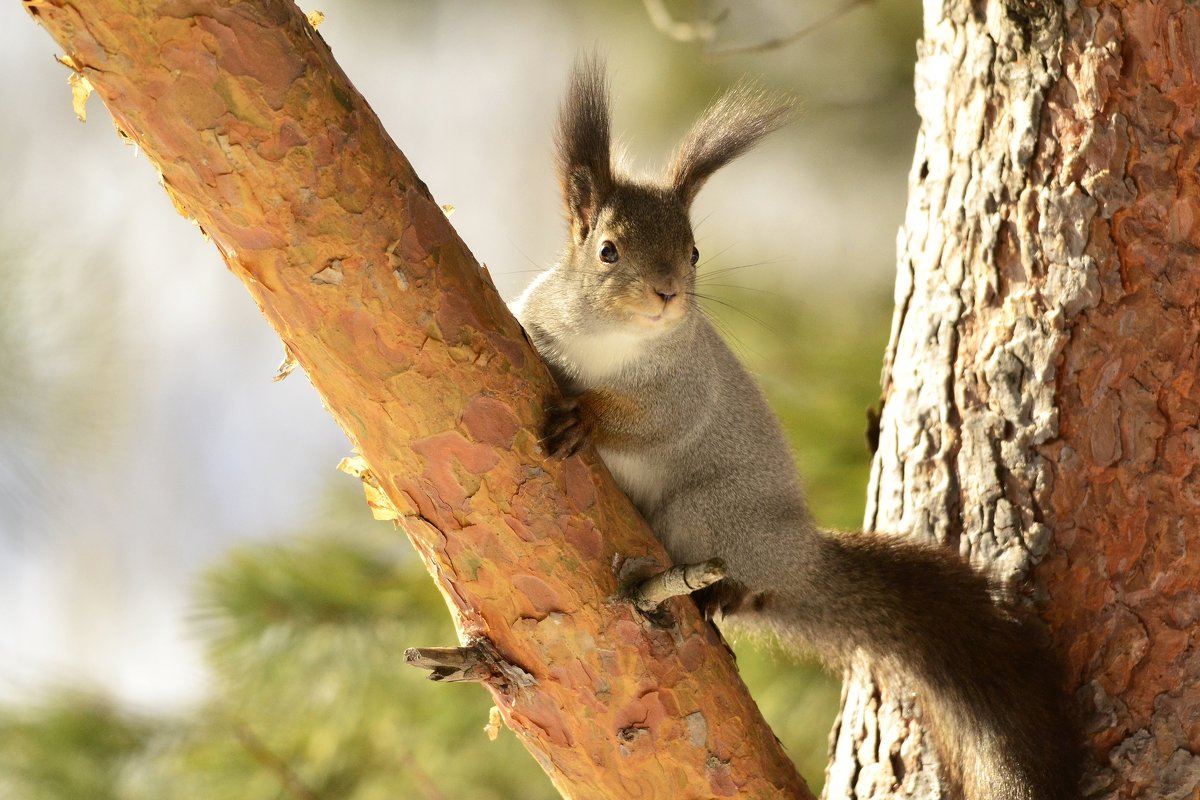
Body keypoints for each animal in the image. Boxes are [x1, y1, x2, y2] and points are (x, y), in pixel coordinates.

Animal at [511, 57, 1084, 800]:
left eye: (693, 252)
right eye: (607, 251)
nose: (666, 293)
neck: (610, 341)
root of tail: (799, 558)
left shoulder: (686, 387)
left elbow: (652, 423)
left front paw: (590, 414)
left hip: (711, 517)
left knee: (735, 582)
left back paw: (718, 595)